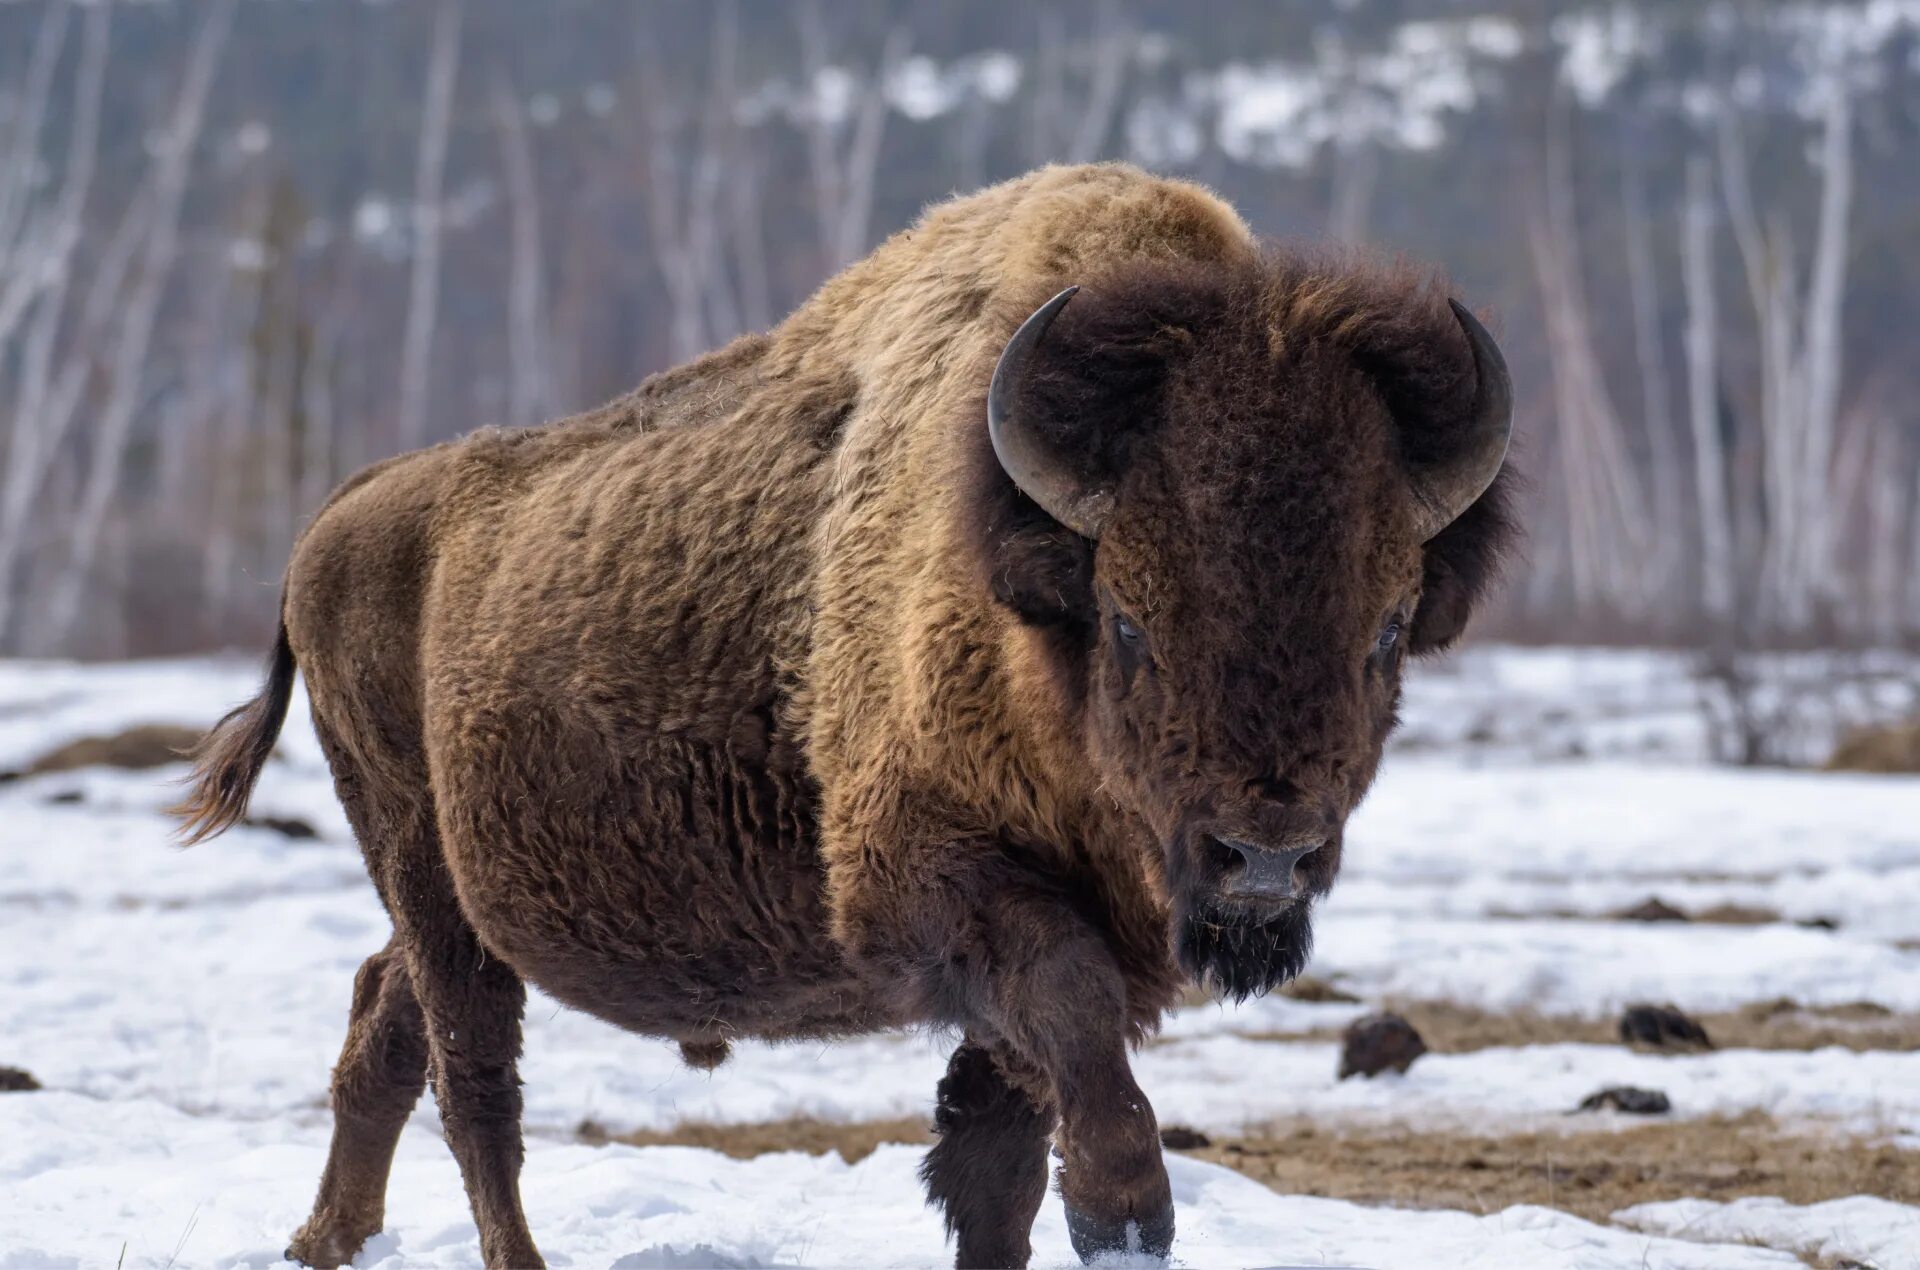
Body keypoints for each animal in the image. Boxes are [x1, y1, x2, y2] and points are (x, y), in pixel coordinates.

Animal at [172, 163, 1512, 1260]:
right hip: (422, 867)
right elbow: (1063, 1046)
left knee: (384, 1021)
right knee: (475, 1085)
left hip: (446, 896)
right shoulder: (928, 880)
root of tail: (338, 516)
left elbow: (995, 1163)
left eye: (1389, 626)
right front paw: (1126, 1212)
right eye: (1130, 617)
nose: (1265, 855)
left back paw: (324, 1239)